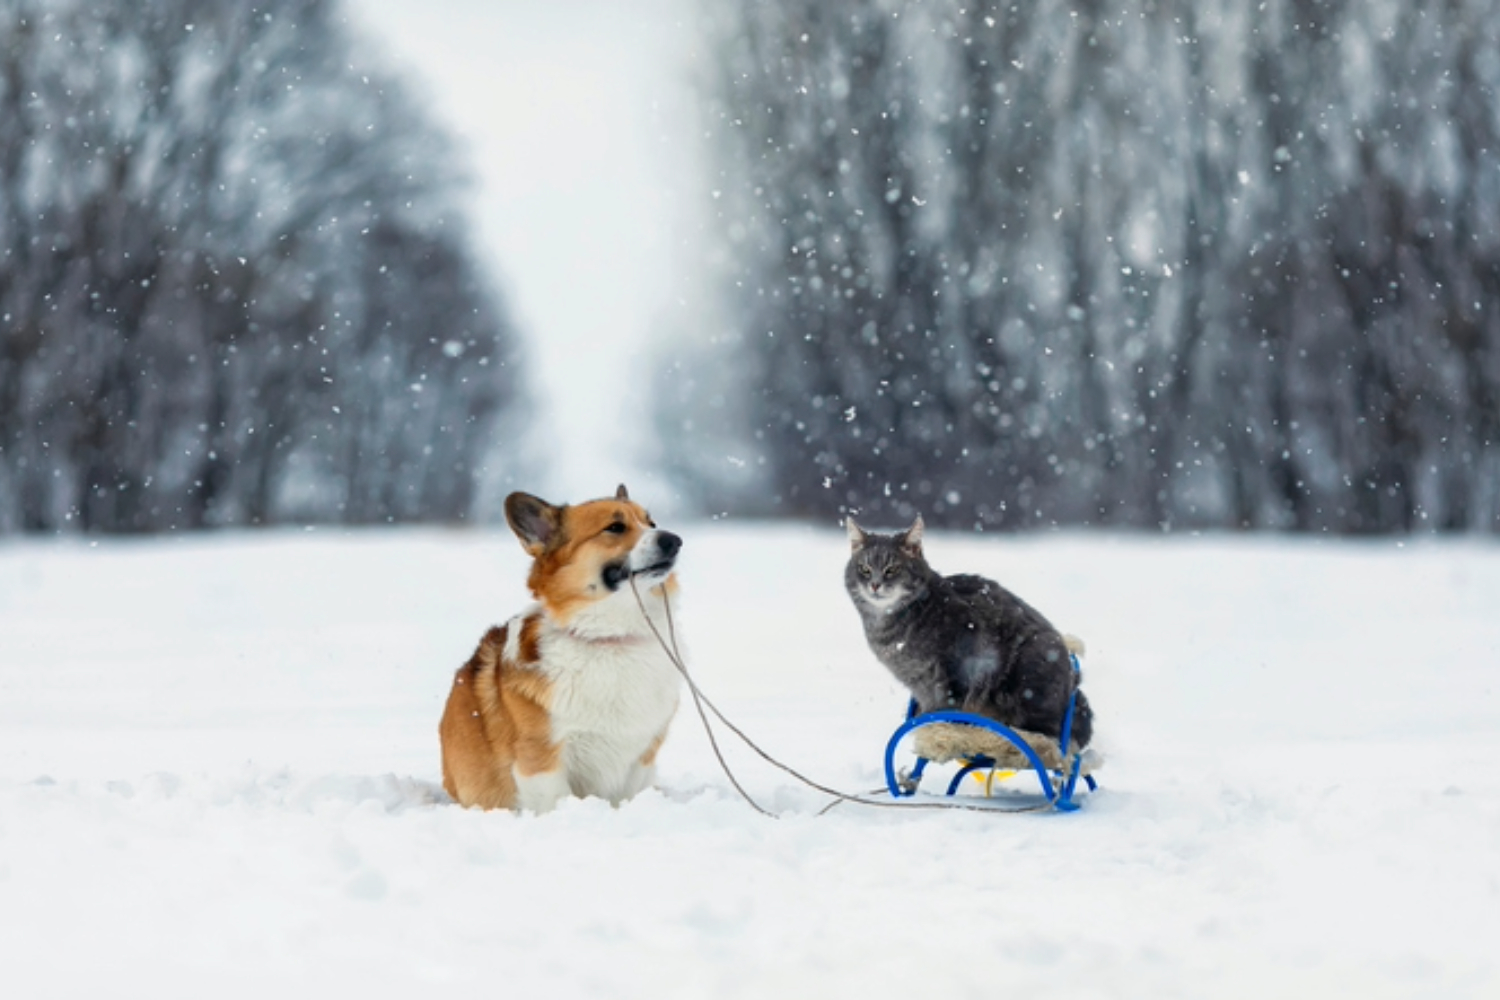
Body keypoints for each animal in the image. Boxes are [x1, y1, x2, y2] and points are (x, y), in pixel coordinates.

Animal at [438, 485, 687, 815]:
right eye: (615, 527)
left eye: (652, 523)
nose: (674, 540)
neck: (611, 637)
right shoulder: (542, 758)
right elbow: (556, 801)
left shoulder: (641, 754)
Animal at [846, 521, 1092, 746]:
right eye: (864, 569)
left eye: (892, 569)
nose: (875, 584)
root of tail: (1074, 685)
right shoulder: (919, 683)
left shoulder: (960, 662)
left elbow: (949, 706)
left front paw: (940, 730)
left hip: (1032, 664)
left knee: (1043, 732)